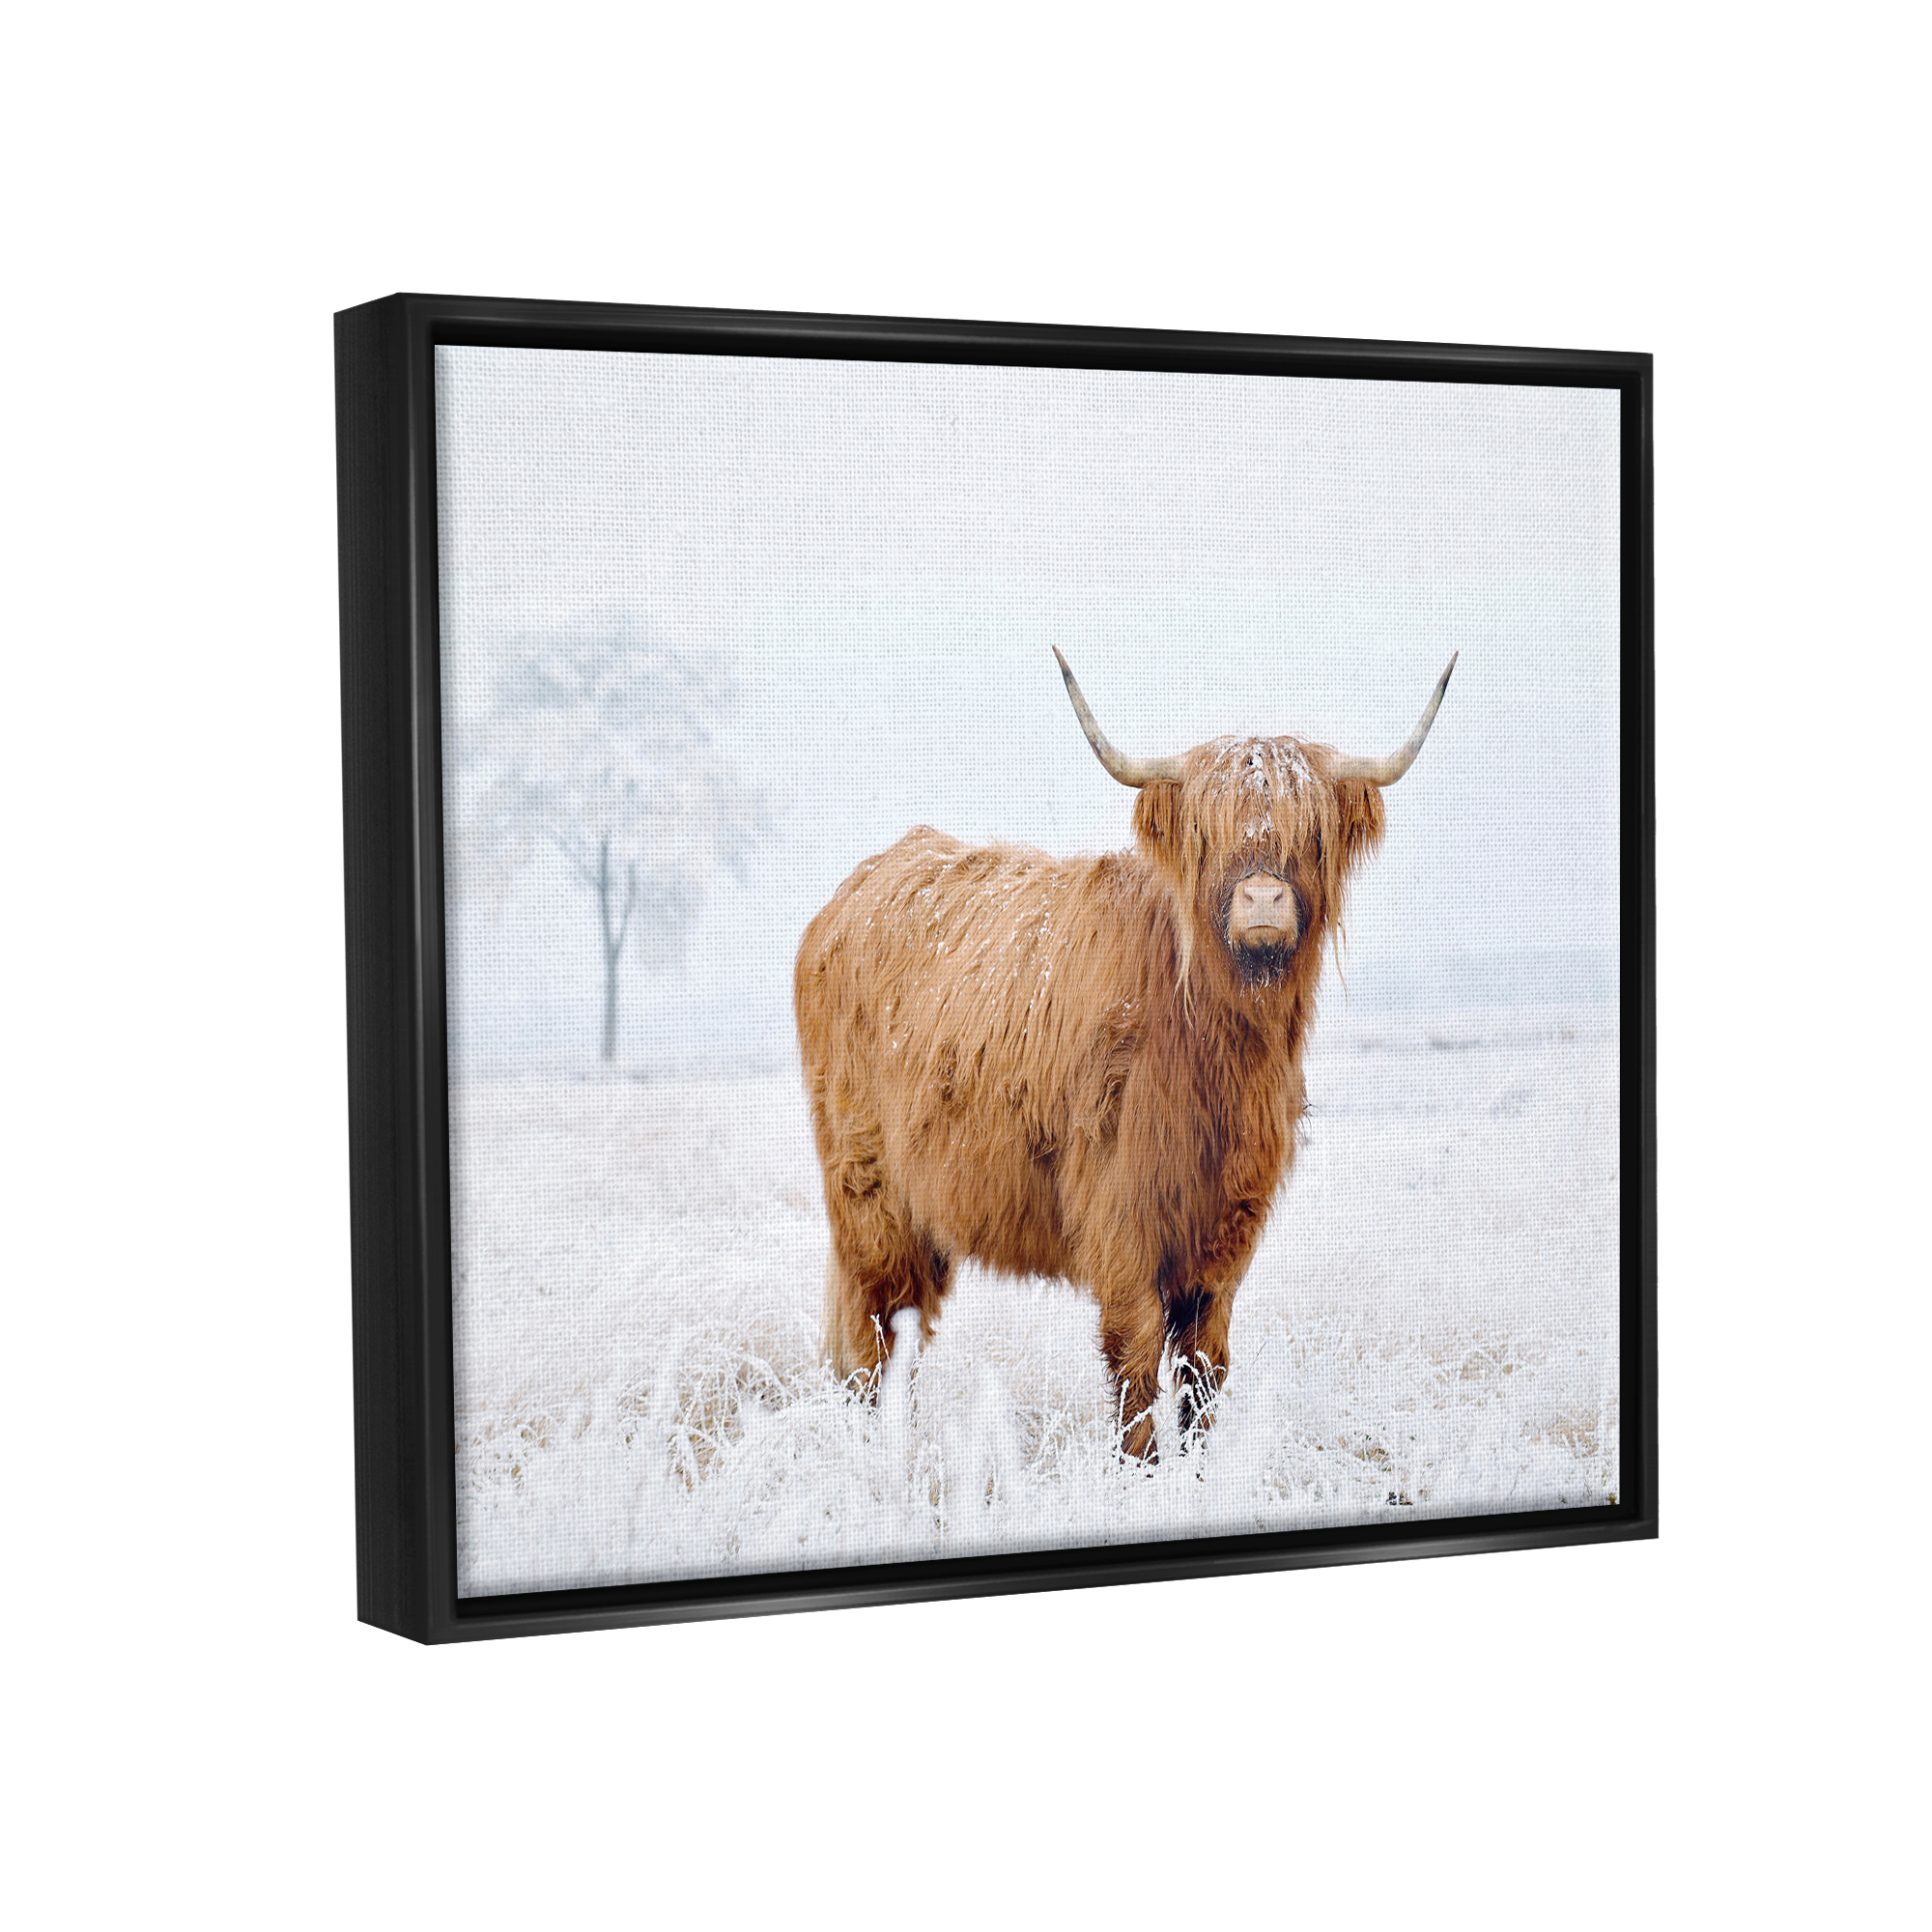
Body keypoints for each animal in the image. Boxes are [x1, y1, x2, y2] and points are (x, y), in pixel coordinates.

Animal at [793, 650, 1456, 1458]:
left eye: (1311, 834)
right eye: (1206, 834)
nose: (1263, 902)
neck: (1216, 1054)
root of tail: (857, 887)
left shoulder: (1225, 1235)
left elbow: (1203, 1373)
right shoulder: (1121, 1220)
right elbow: (1135, 1373)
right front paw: (1139, 1473)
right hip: (868, 1193)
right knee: (872, 1338)